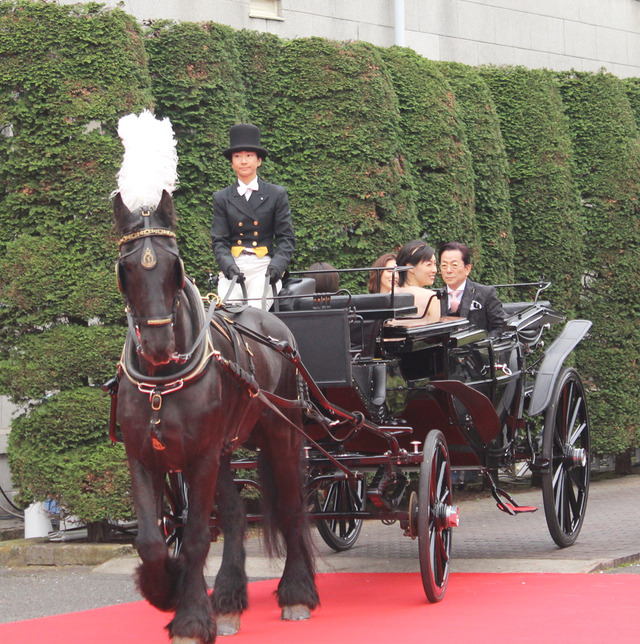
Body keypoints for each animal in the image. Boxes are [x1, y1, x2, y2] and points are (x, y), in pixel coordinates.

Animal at [114, 191, 318, 644]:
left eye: (174, 265)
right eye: (127, 268)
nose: (158, 346)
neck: (162, 380)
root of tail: (273, 321)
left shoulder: (200, 457)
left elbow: (195, 537)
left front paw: (190, 618)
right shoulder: (144, 456)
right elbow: (151, 540)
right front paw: (165, 589)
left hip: (282, 436)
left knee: (292, 507)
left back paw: (296, 592)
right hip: (225, 449)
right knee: (237, 515)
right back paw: (227, 600)